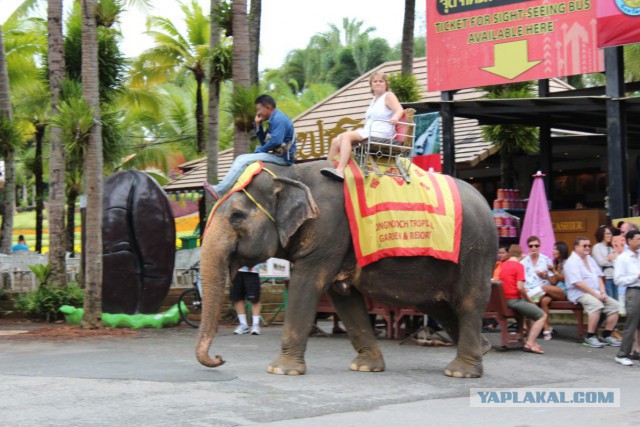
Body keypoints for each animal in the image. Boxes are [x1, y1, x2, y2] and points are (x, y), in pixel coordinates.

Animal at [198, 162, 498, 380]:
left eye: (237, 216)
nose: (220, 358)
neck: (290, 174)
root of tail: (488, 204)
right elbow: (342, 296)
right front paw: (365, 367)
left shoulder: (327, 229)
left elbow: (308, 284)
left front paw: (280, 370)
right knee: (434, 303)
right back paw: (483, 349)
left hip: (477, 249)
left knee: (469, 301)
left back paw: (461, 372)